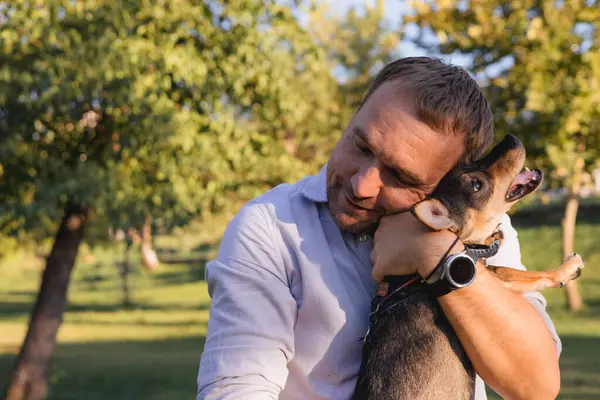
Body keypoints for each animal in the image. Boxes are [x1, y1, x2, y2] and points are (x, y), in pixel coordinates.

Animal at [354, 135, 584, 400]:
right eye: (476, 185)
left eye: (470, 162)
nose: (510, 138)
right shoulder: (495, 276)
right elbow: (522, 273)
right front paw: (567, 268)